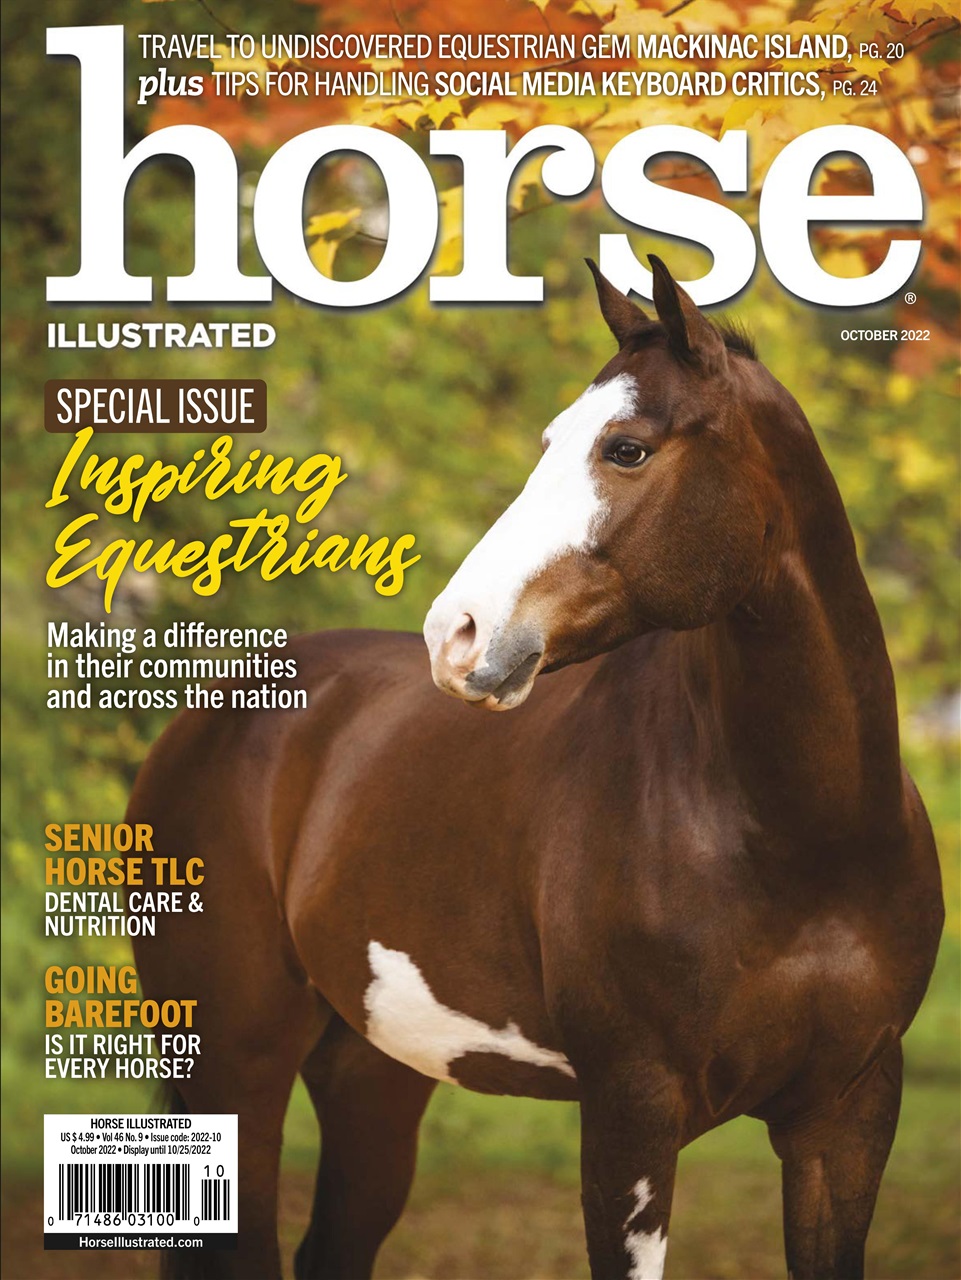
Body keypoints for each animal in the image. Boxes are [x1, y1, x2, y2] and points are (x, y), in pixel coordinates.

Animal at [129, 258, 944, 1280]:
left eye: (626, 450)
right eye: (552, 440)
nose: (456, 633)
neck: (803, 841)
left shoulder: (846, 1116)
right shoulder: (631, 1113)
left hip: (370, 1072)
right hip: (230, 1062)